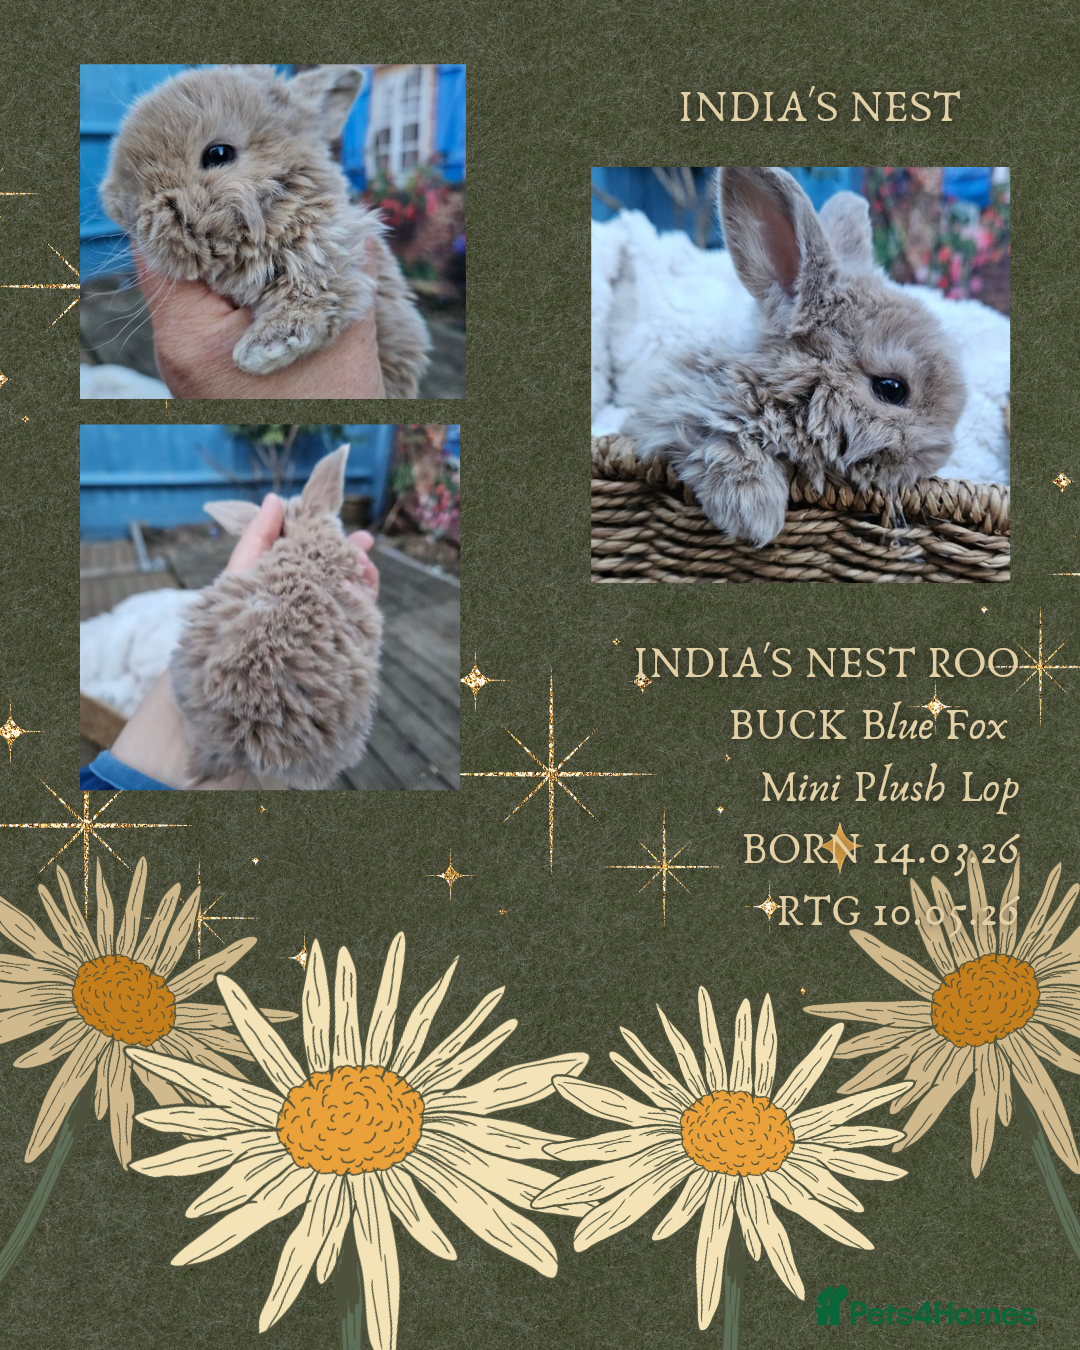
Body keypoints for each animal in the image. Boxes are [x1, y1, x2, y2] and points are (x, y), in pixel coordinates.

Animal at [625, 168, 966, 547]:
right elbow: (721, 443)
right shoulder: (676, 412)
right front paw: (755, 515)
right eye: (891, 389)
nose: (937, 459)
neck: (777, 392)